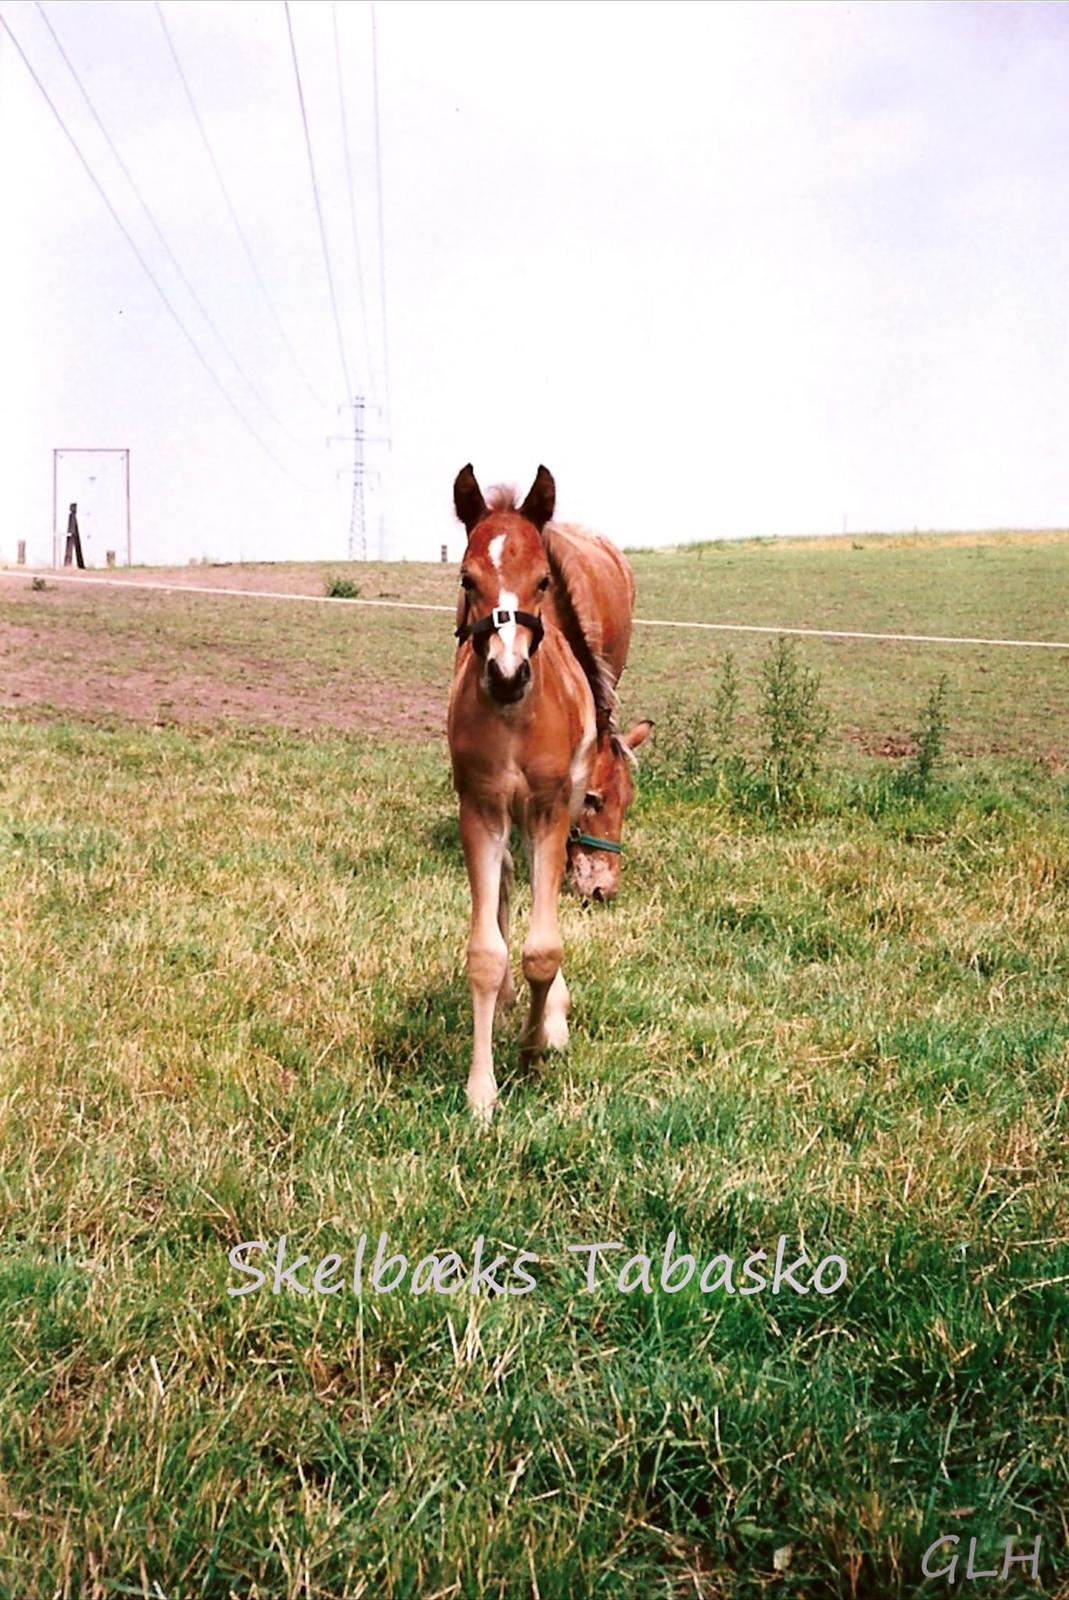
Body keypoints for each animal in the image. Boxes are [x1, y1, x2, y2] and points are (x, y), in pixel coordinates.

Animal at [448, 460, 643, 1113]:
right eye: (467, 578)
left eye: (539, 581)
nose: (507, 674)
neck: (515, 715)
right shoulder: (481, 808)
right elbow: (487, 951)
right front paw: (481, 1091)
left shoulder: (553, 809)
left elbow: (545, 945)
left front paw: (538, 1043)